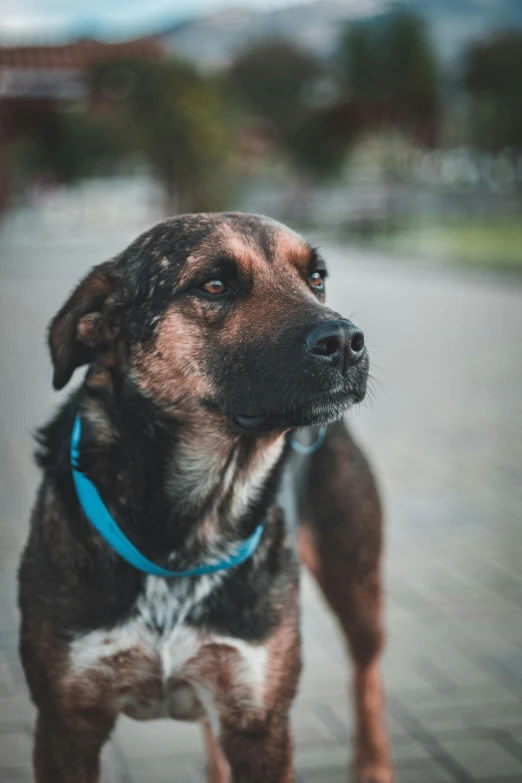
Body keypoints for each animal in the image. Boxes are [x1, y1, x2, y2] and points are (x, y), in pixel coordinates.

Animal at [16, 211, 392, 780]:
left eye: (316, 278)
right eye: (214, 285)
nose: (347, 341)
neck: (194, 522)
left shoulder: (260, 721)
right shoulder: (66, 723)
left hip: (355, 581)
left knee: (367, 674)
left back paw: (373, 764)